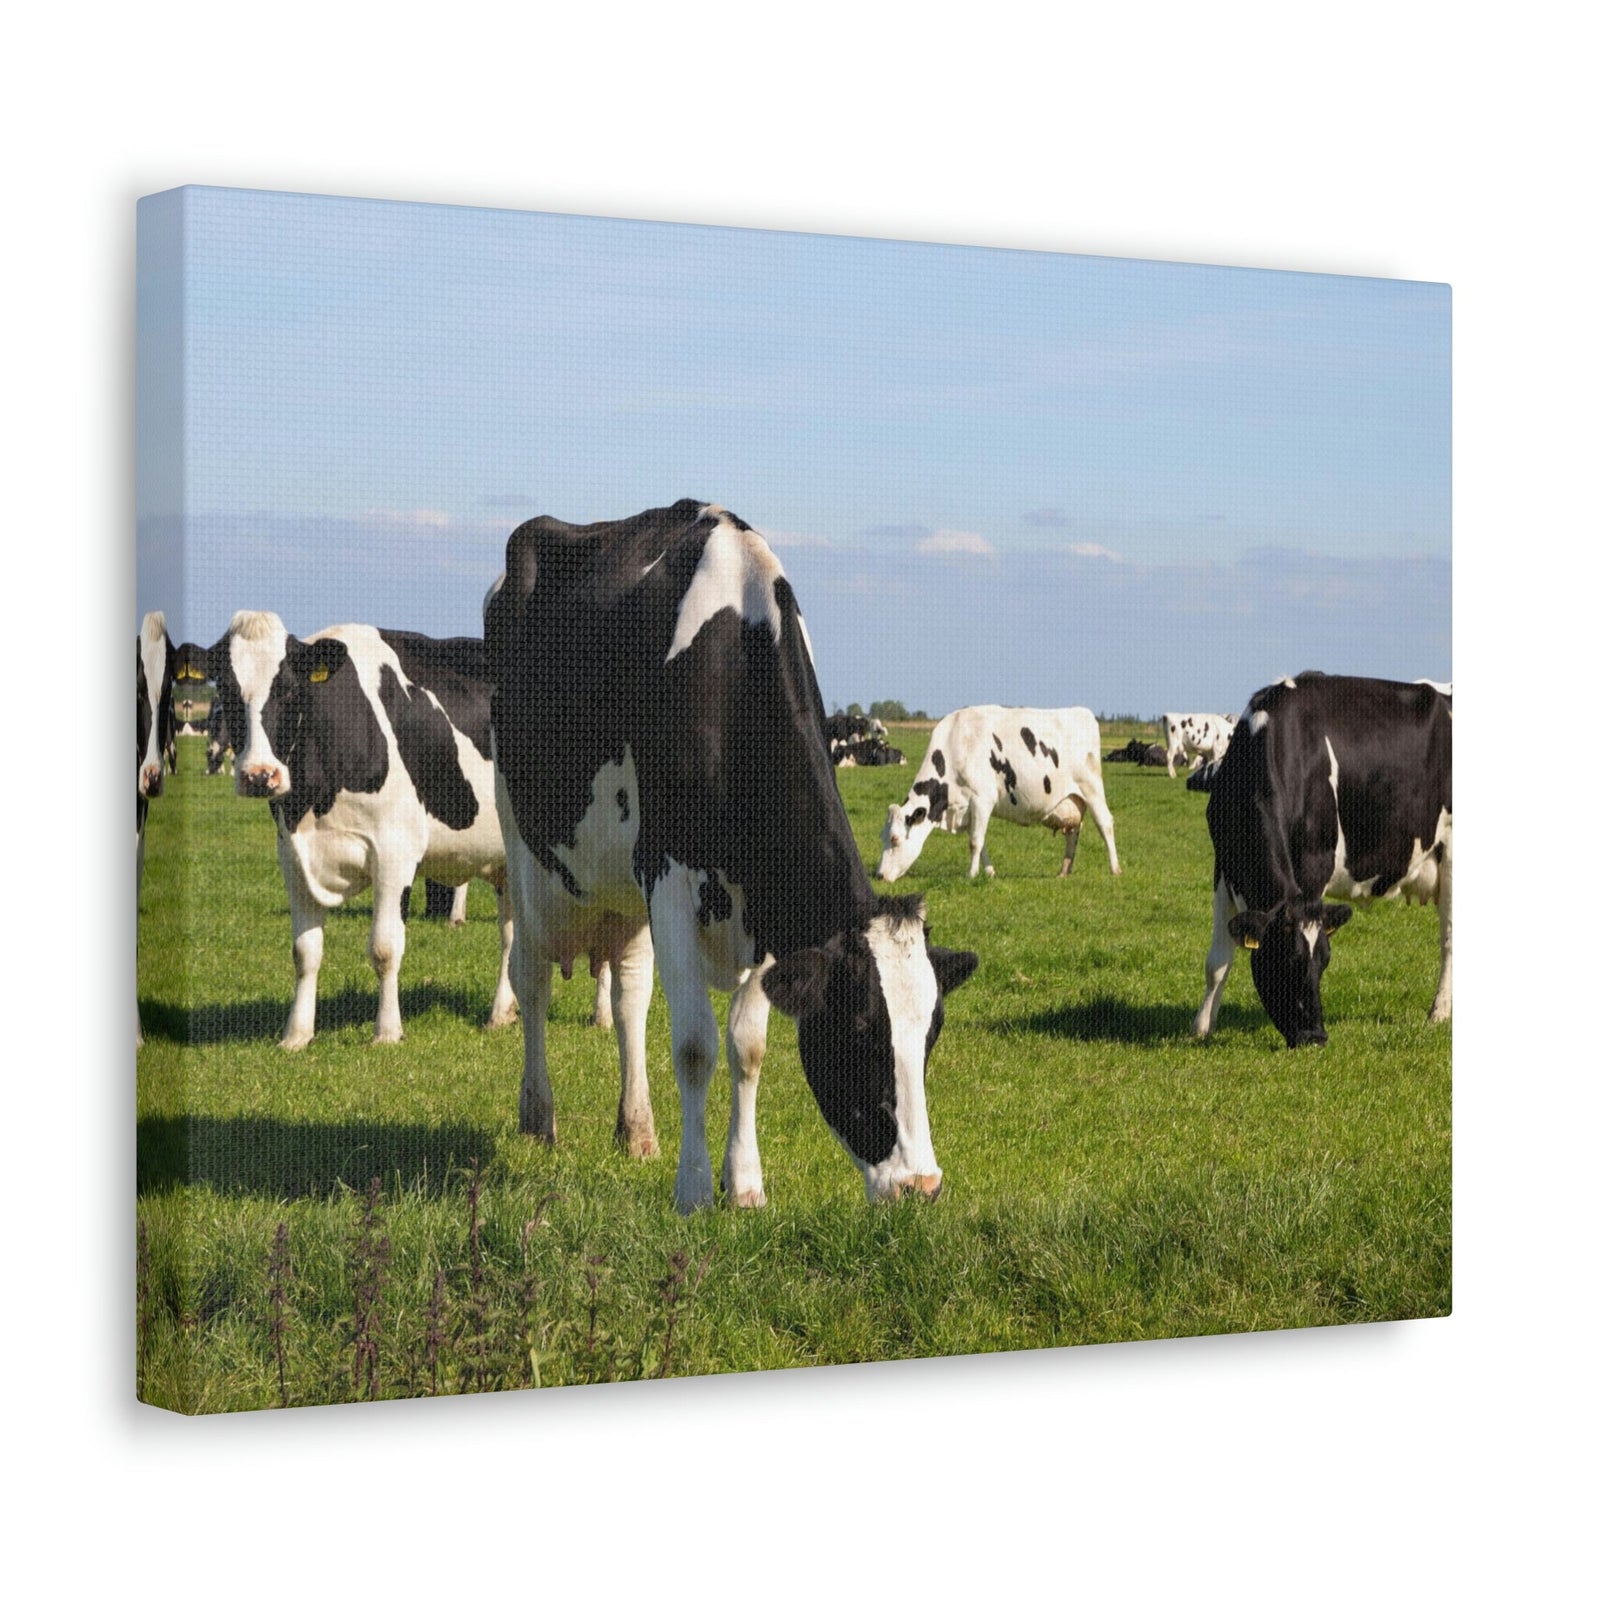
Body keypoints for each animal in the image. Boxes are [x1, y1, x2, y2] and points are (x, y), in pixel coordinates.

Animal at [175, 613, 521, 1049]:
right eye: (227, 689)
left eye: (290, 691)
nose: (259, 775)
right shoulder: (292, 856)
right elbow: (305, 951)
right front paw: (296, 1035)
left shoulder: (394, 851)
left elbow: (385, 947)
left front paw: (387, 1032)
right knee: (512, 933)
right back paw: (502, 1013)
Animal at [485, 499, 978, 1212]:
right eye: (859, 1028)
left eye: (931, 1034)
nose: (922, 1185)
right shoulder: (667, 872)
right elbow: (695, 1044)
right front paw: (693, 1192)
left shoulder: (767, 903)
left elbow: (748, 1046)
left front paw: (744, 1183)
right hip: (524, 847)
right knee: (532, 977)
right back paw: (538, 1118)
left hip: (624, 893)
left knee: (630, 998)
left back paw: (636, 1129)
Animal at [877, 705, 1120, 882]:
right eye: (883, 837)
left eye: (895, 839)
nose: (880, 876)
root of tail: (1082, 711)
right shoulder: (969, 808)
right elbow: (979, 841)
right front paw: (989, 872)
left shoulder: (982, 798)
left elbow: (975, 842)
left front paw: (971, 875)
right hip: (1072, 800)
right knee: (1074, 830)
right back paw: (1064, 871)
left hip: (1091, 787)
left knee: (1105, 824)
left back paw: (1115, 869)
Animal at [1192, 674, 1452, 1047]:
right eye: (1285, 959)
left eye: (1324, 961)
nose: (1315, 1036)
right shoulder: (1224, 866)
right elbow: (1217, 961)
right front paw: (1202, 1027)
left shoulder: (1314, 867)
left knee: (1449, 940)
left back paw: (1439, 1012)